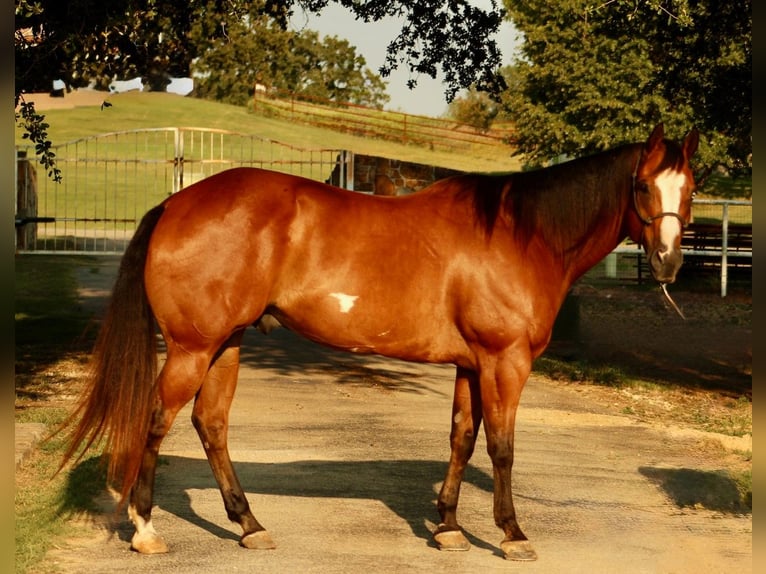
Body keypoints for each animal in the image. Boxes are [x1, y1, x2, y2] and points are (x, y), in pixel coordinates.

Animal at [61, 123, 699, 561]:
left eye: (691, 189)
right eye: (643, 186)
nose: (668, 263)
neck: (522, 236)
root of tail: (176, 202)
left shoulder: (471, 366)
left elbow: (462, 439)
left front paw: (448, 528)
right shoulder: (505, 363)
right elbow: (503, 447)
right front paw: (513, 534)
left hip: (226, 344)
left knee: (210, 424)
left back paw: (250, 526)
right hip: (193, 347)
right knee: (156, 420)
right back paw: (147, 531)